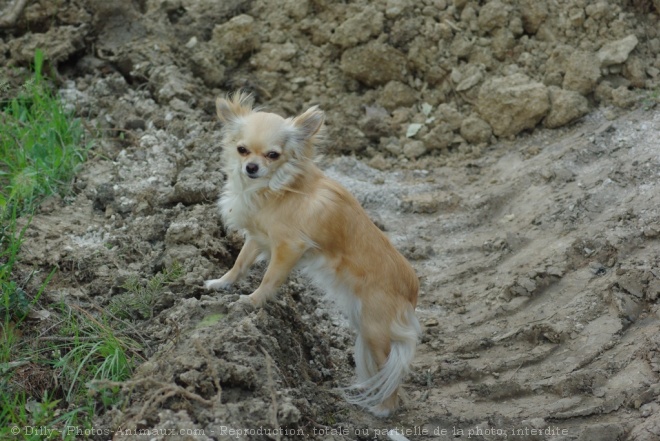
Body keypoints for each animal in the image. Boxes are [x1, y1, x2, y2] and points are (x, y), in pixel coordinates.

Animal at [206, 93, 420, 416]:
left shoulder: (288, 247)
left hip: (375, 328)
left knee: (390, 370)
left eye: (273, 155)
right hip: (364, 323)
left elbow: (269, 278)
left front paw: (252, 301)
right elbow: (240, 263)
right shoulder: (258, 237)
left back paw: (383, 408)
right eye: (242, 150)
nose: (251, 167)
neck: (276, 187)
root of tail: (412, 289)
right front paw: (221, 283)